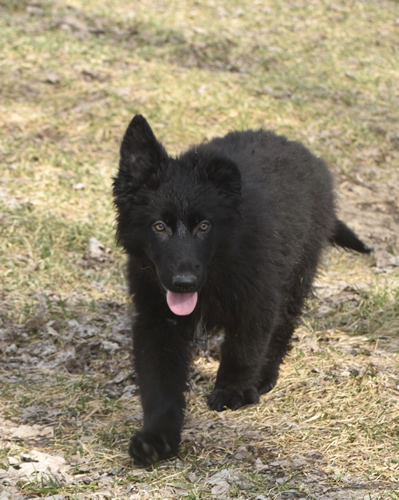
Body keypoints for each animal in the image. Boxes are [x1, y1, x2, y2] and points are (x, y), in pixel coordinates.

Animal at [112, 115, 368, 466]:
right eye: (159, 226)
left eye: (204, 226)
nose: (183, 283)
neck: (218, 266)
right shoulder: (156, 317)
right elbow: (158, 381)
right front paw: (157, 437)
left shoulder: (259, 299)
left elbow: (244, 349)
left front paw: (234, 390)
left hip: (297, 273)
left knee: (282, 329)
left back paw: (264, 375)